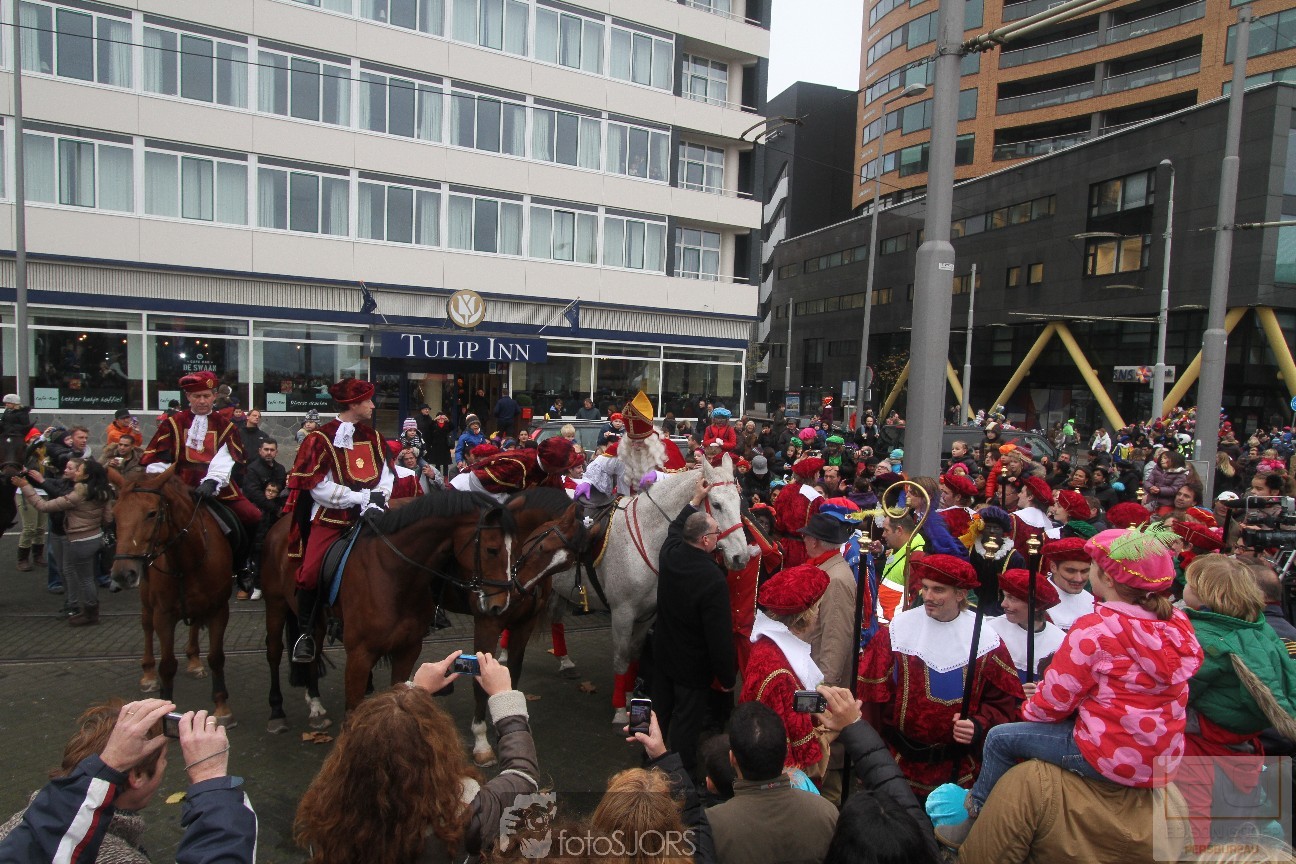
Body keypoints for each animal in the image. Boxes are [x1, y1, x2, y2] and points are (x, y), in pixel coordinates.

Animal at [109, 467, 237, 724]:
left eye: (152, 513)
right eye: (115, 514)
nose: (122, 574)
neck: (186, 561)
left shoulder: (219, 609)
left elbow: (216, 657)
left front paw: (221, 707)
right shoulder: (163, 615)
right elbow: (167, 665)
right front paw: (163, 708)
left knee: (194, 624)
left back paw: (194, 661)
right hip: (147, 600)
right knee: (146, 626)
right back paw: (148, 674)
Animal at [257, 489, 530, 732]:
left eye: (515, 548)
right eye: (492, 549)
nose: (501, 604)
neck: (394, 574)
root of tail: (279, 525)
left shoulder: (408, 649)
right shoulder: (359, 655)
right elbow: (352, 712)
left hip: (318, 621)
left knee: (313, 651)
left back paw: (314, 703)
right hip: (276, 603)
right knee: (274, 651)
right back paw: (276, 712)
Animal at [517, 454, 750, 724]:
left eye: (739, 502)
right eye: (716, 504)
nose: (741, 557)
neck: (647, 539)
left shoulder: (647, 614)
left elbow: (634, 656)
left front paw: (631, 698)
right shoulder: (622, 613)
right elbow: (621, 658)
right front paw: (619, 710)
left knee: (556, 617)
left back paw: (565, 662)